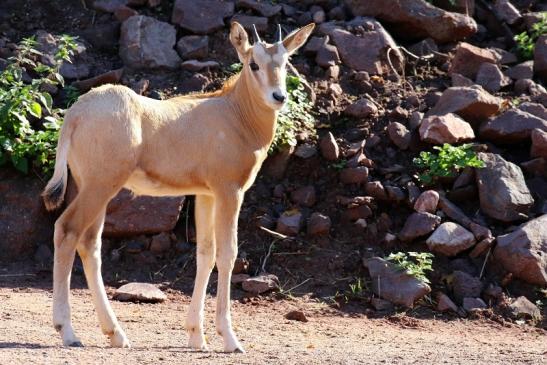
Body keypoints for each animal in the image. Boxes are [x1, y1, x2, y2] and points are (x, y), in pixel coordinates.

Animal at [42, 21, 314, 352]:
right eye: (254, 64)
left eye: (285, 63)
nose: (279, 96)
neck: (234, 113)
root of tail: (75, 114)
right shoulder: (229, 191)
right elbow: (228, 254)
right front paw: (230, 338)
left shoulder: (205, 194)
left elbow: (205, 254)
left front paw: (197, 336)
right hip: (100, 186)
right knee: (67, 231)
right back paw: (68, 331)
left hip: (92, 188)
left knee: (89, 244)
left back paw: (116, 334)